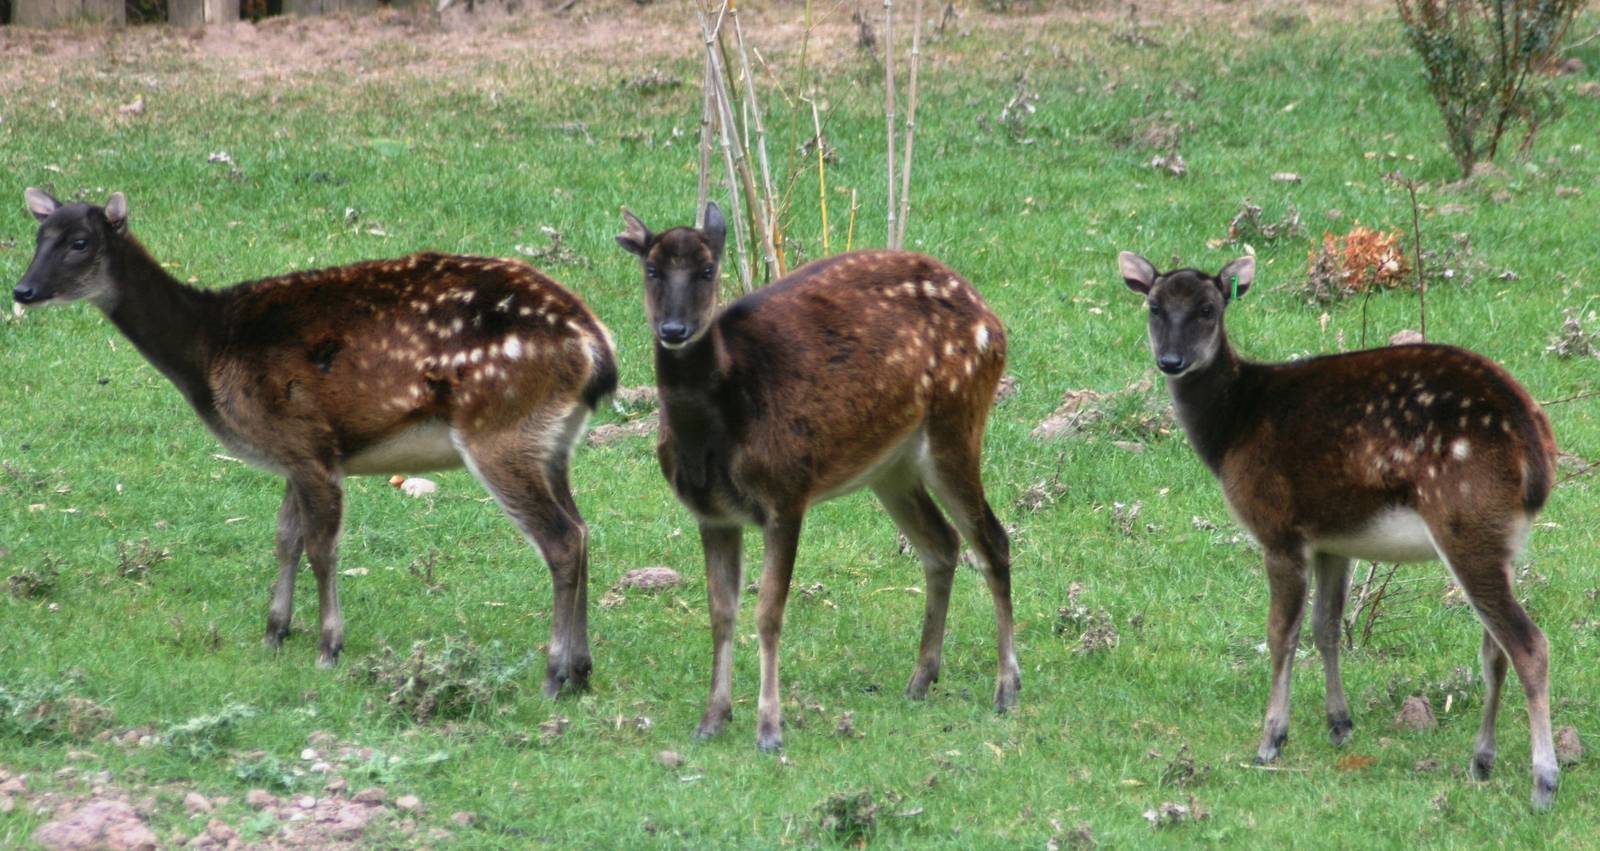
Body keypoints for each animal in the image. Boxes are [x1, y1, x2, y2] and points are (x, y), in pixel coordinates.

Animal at [14, 188, 617, 695]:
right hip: (552, 441)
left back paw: (555, 675)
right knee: (583, 528)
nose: (23, 289)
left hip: (500, 429)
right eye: (38, 237)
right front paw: (274, 633)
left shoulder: (308, 442)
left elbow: (323, 548)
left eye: (80, 242)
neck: (208, 351)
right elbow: (286, 538)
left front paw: (329, 647)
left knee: (561, 538)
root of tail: (597, 349)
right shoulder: (291, 452)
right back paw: (583, 669)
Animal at [616, 203, 1018, 752]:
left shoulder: (787, 489)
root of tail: (992, 320)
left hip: (957, 421)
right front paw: (711, 719)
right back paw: (920, 680)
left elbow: (768, 612)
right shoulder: (712, 512)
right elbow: (721, 612)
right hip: (891, 465)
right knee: (942, 543)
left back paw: (1006, 689)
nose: (674, 328)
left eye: (707, 269)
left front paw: (769, 730)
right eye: (652, 269)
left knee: (993, 538)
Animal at [1119, 250, 1561, 808]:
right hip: (1503, 539)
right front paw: (1340, 725)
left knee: (1528, 643)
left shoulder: (1278, 527)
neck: (1232, 430)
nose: (1172, 361)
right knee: (1495, 648)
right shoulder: (1333, 539)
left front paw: (1270, 742)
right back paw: (1481, 761)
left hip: (1465, 520)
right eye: (1154, 307)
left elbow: (1280, 633)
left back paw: (1543, 782)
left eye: (1207, 309)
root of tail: (1538, 455)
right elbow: (1325, 626)